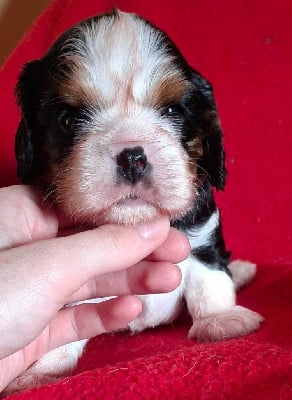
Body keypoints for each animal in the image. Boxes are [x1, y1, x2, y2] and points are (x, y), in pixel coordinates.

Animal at [9, 9, 264, 394]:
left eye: (173, 110)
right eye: (70, 119)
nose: (132, 156)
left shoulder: (202, 229)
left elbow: (208, 278)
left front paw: (220, 319)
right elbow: (63, 323)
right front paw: (44, 371)